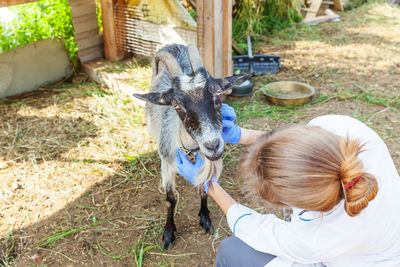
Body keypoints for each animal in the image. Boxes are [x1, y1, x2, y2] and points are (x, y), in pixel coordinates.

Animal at [134, 43, 253, 250]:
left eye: (218, 95)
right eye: (175, 104)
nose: (213, 146)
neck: (189, 149)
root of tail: (172, 44)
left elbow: (205, 190)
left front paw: (205, 219)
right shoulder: (167, 165)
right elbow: (170, 199)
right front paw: (168, 233)